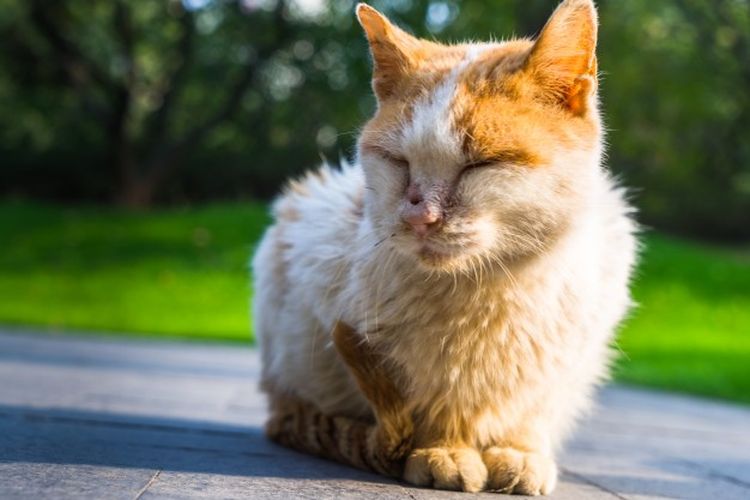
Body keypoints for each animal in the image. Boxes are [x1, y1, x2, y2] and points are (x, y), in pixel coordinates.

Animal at [254, 0, 640, 492]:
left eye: (481, 164)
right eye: (398, 162)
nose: (420, 217)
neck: (498, 284)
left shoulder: (563, 360)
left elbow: (531, 405)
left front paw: (519, 451)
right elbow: (441, 397)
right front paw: (445, 450)